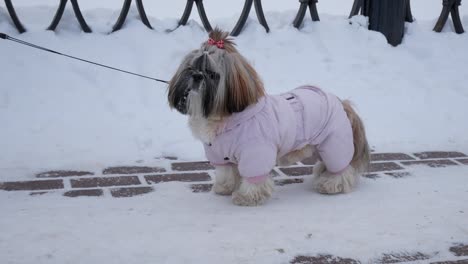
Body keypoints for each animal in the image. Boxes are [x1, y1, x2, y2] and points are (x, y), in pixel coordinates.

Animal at [168, 28, 370, 206]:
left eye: (212, 74)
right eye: (190, 68)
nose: (196, 76)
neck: (227, 118)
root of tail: (341, 102)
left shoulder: (255, 152)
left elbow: (254, 178)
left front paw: (247, 197)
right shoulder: (221, 155)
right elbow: (227, 172)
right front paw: (225, 187)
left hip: (334, 142)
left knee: (342, 168)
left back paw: (331, 184)